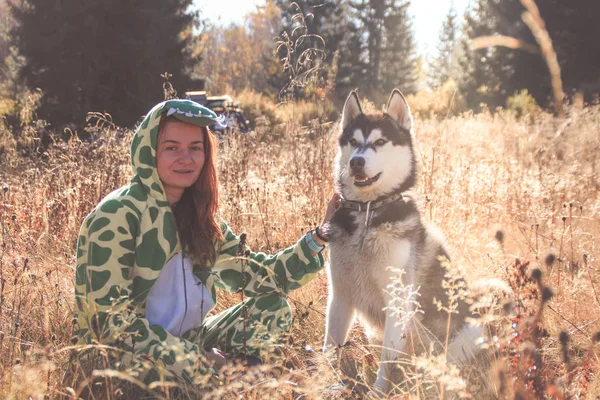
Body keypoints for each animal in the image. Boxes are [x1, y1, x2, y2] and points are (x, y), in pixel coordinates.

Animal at [324, 89, 482, 392]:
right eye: (353, 142)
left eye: (380, 142)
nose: (356, 162)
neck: (368, 214)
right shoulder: (340, 296)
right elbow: (329, 347)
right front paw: (320, 383)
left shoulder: (396, 302)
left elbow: (387, 359)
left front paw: (377, 392)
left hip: (469, 332)